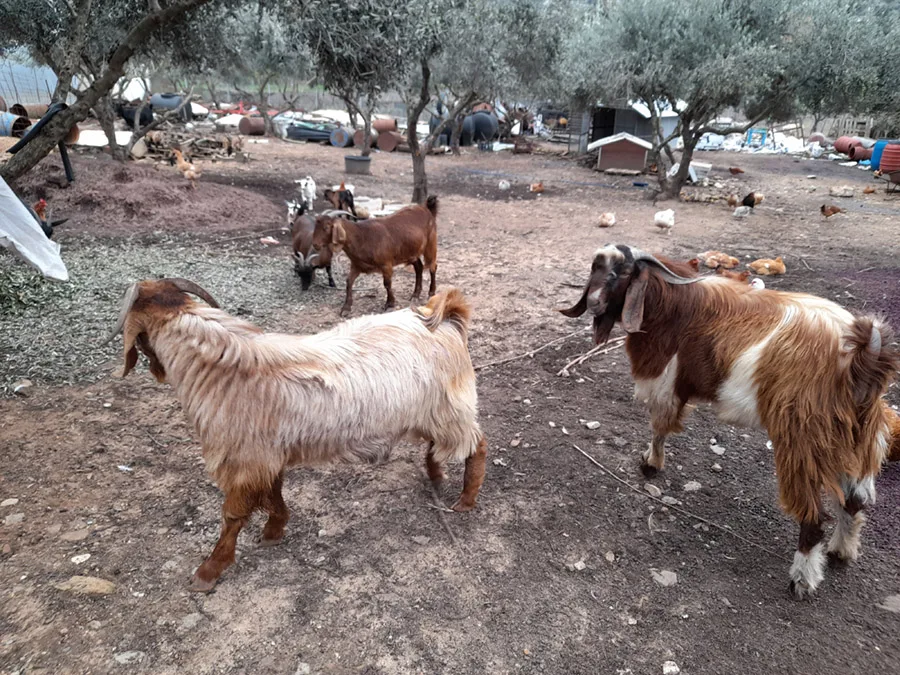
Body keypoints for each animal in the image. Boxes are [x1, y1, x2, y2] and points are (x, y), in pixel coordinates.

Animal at [104, 278, 488, 592]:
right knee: (440, 445)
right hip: (432, 413)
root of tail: (445, 315)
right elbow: (273, 494)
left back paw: (465, 500)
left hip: (451, 409)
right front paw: (274, 531)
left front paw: (208, 571)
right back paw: (435, 475)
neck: (220, 368)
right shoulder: (268, 455)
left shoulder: (244, 459)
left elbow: (232, 516)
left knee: (478, 446)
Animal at [310, 196, 438, 317]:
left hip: (431, 244)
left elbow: (387, 283)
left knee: (433, 266)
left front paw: (390, 304)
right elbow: (349, 282)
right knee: (419, 267)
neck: (361, 237)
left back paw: (431, 292)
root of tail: (426, 209)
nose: (315, 244)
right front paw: (346, 308)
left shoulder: (386, 264)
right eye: (315, 226)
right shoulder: (356, 265)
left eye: (326, 227)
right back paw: (415, 295)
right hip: (411, 252)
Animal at [561, 244, 899, 598]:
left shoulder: (667, 383)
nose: (594, 302)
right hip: (856, 435)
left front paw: (650, 463)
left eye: (625, 272)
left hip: (803, 439)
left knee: (814, 517)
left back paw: (802, 579)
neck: (672, 302)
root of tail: (865, 353)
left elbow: (659, 427)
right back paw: (841, 551)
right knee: (854, 501)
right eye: (595, 268)